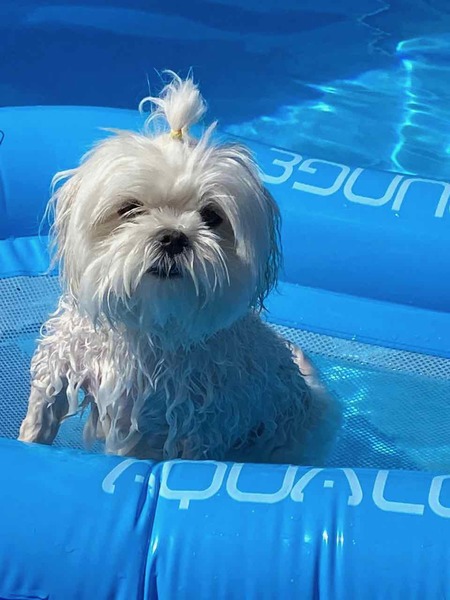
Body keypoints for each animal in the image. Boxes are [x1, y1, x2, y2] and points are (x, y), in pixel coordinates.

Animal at [18, 73, 340, 464]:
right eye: (130, 208)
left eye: (212, 216)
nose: (173, 237)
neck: (148, 322)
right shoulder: (64, 361)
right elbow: (41, 414)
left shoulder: (179, 424)